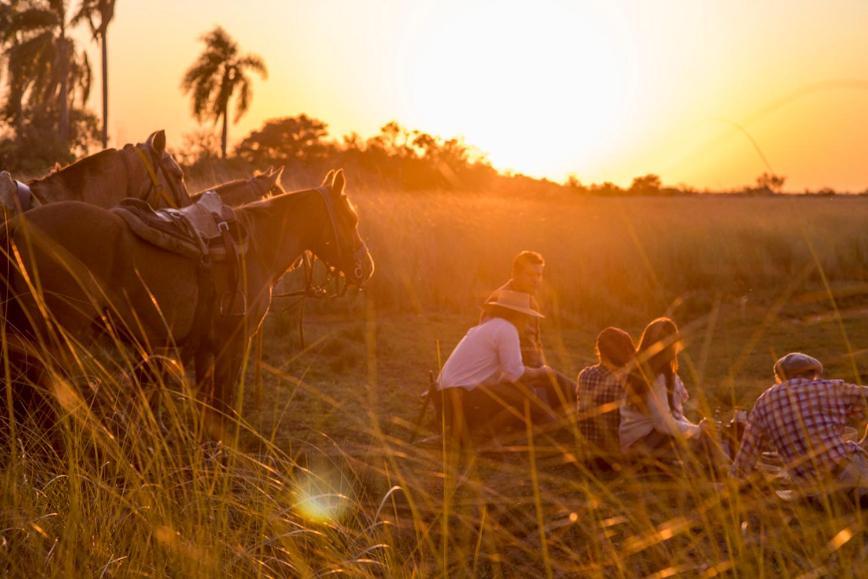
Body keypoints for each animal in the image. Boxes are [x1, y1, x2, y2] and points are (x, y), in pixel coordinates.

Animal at [4, 168, 372, 430]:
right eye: (352, 219)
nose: (365, 267)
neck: (255, 248)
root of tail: (18, 223)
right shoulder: (233, 344)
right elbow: (223, 406)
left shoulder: (205, 347)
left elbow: (208, 407)